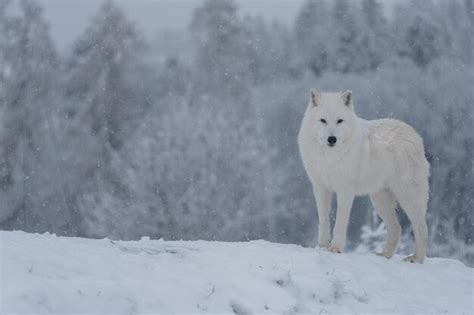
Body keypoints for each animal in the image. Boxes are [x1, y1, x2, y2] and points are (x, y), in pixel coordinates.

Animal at [300, 89, 430, 264]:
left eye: (339, 121)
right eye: (323, 120)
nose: (332, 139)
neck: (330, 157)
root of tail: (416, 136)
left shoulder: (345, 190)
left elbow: (341, 220)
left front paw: (336, 248)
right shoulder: (320, 188)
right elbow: (323, 219)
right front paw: (321, 246)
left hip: (408, 197)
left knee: (422, 228)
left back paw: (416, 259)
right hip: (380, 200)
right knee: (396, 228)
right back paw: (385, 255)